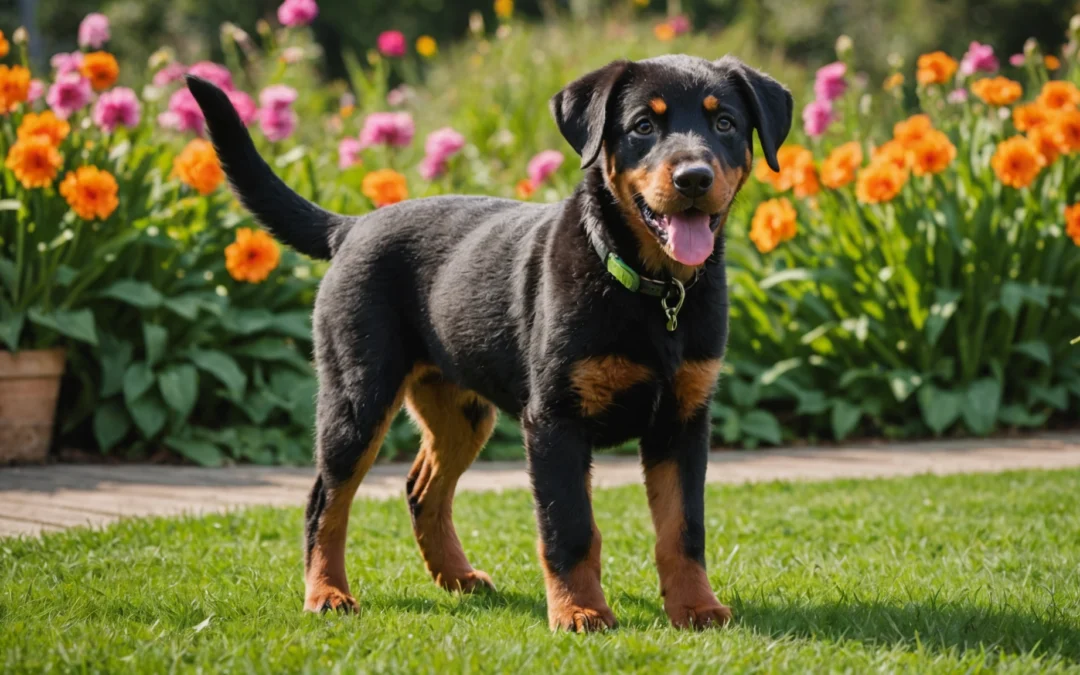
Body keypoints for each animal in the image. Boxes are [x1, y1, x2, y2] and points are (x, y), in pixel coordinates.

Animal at [187, 52, 794, 630]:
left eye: (724, 122)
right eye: (644, 125)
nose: (693, 177)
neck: (654, 290)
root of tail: (352, 226)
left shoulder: (684, 419)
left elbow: (683, 528)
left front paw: (695, 608)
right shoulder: (554, 421)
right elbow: (570, 526)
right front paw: (579, 612)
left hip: (460, 410)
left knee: (422, 489)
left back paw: (456, 577)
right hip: (357, 397)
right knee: (325, 502)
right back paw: (328, 594)